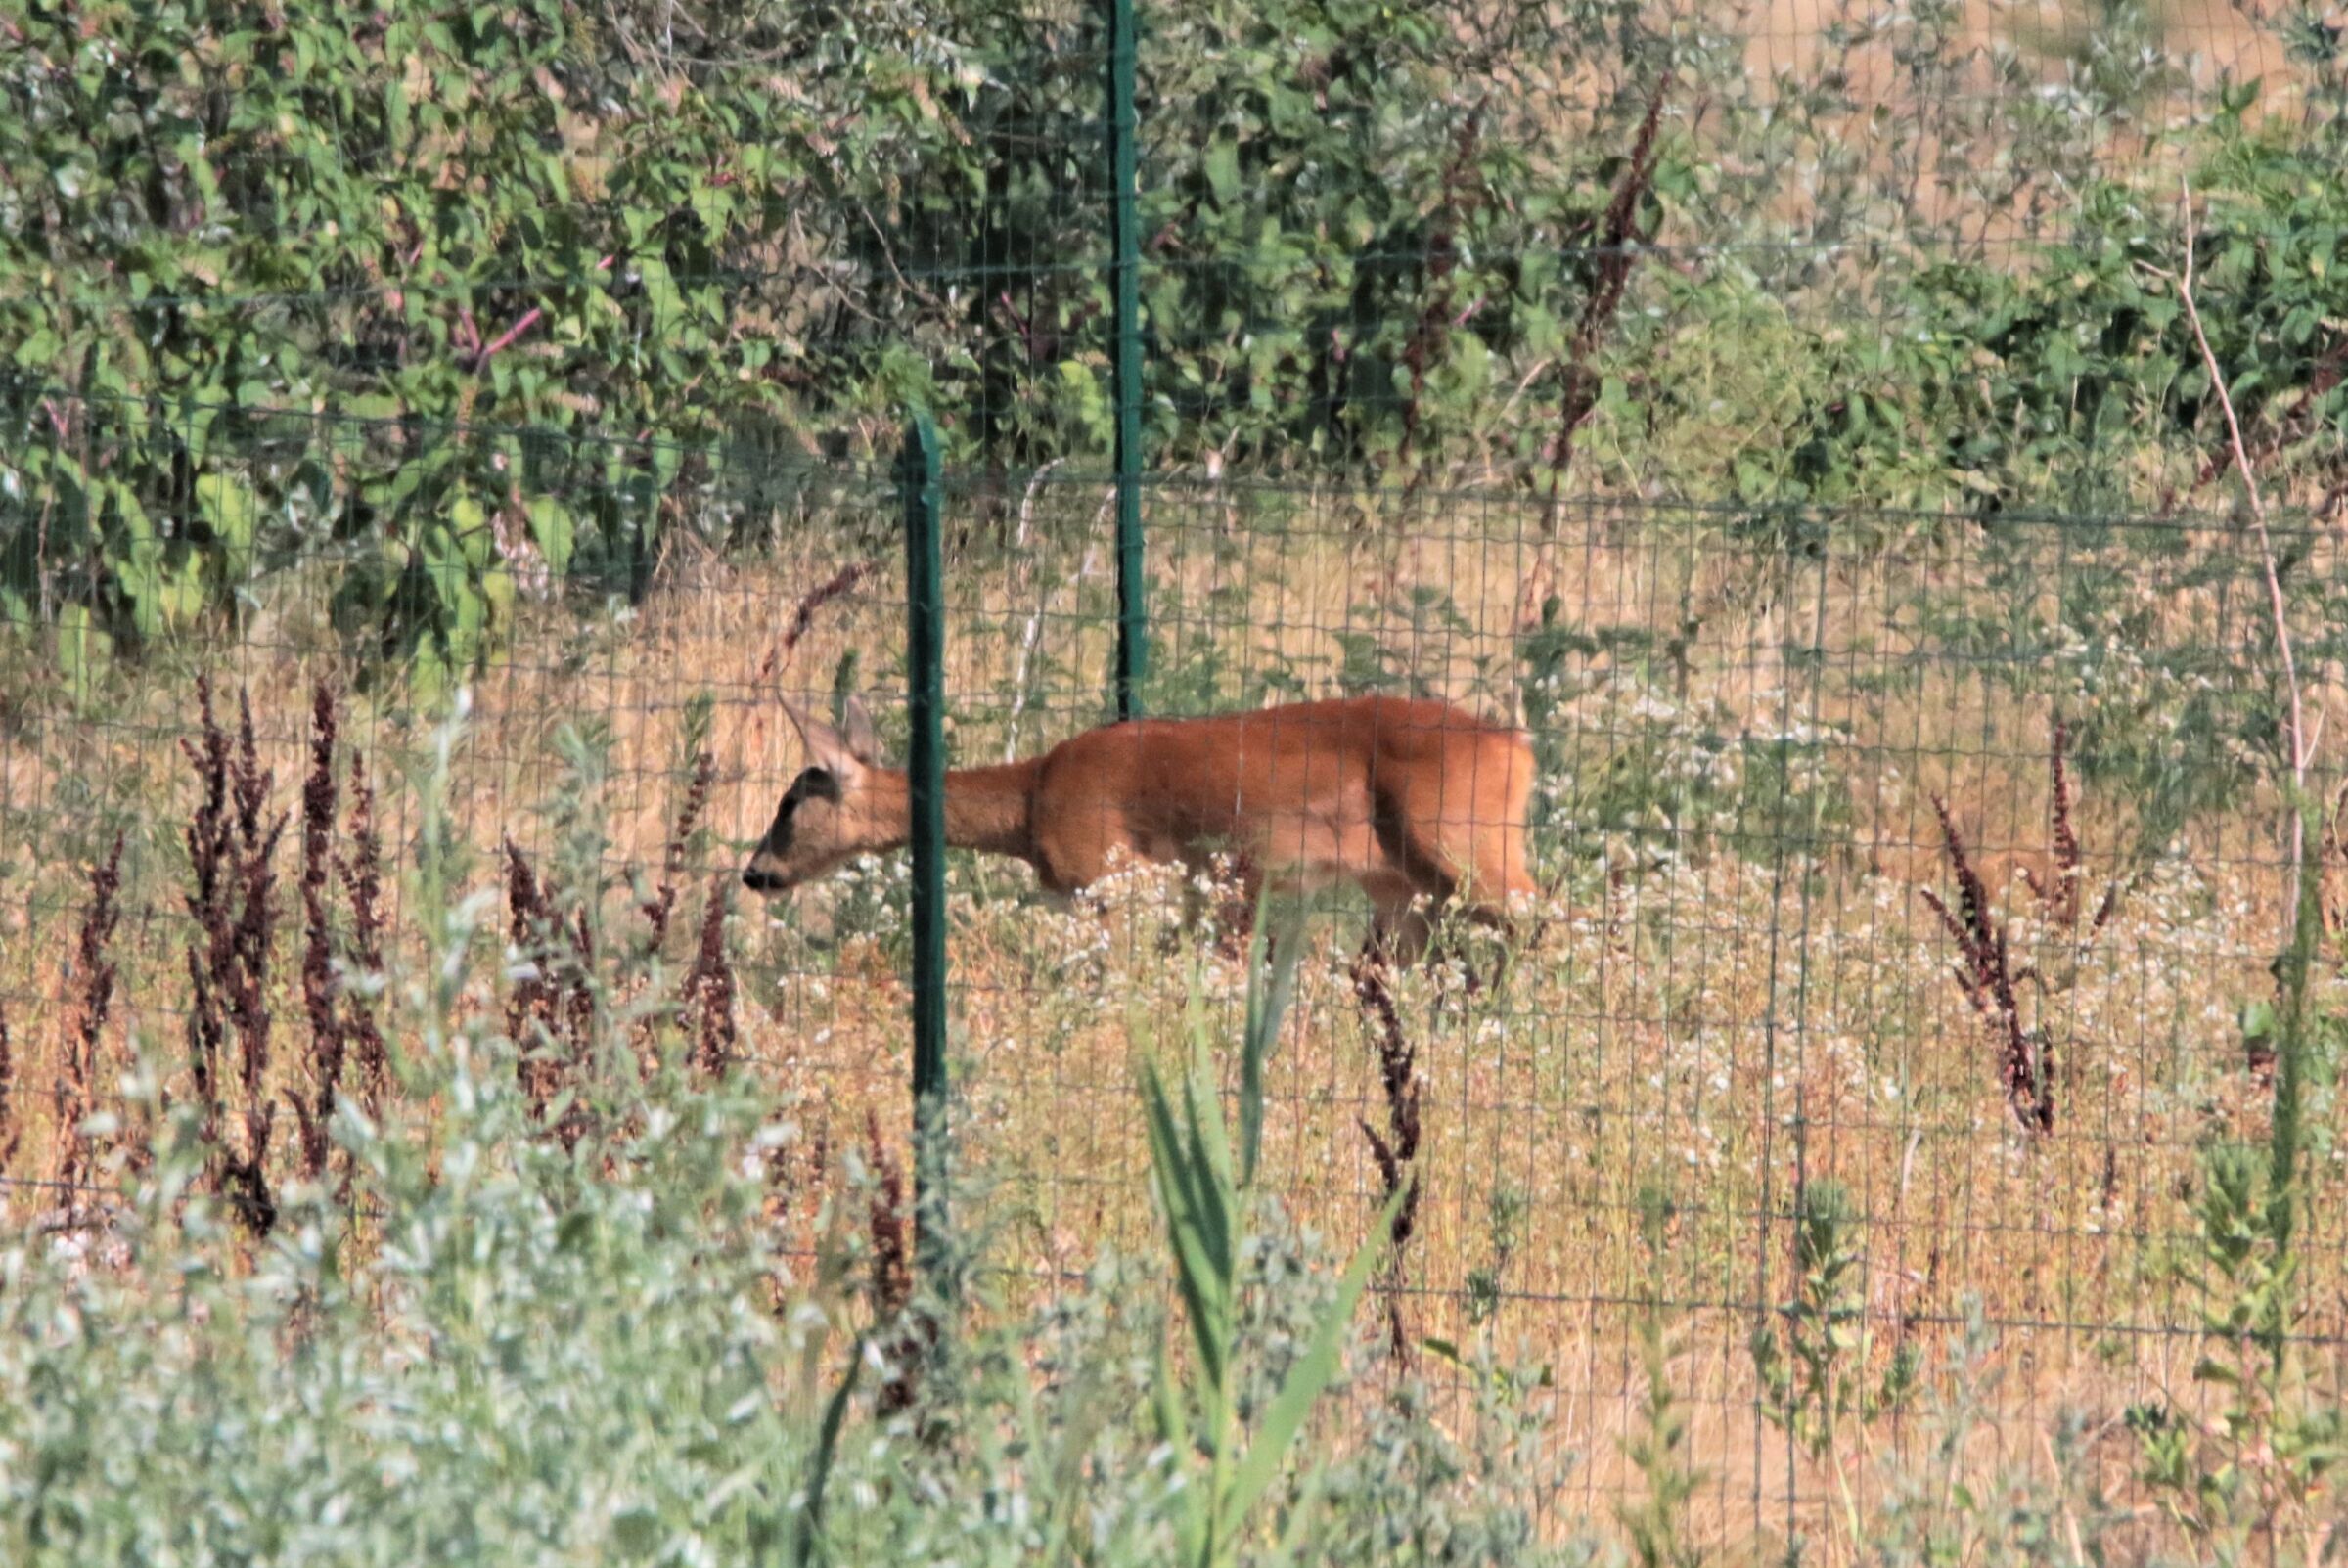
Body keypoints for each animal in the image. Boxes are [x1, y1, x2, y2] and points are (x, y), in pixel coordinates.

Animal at [742, 693, 1541, 972]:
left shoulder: (1116, 878)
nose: (754, 872)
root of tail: (1518, 749)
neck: (1033, 799)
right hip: (1400, 888)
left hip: (1467, 845)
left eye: (789, 802)